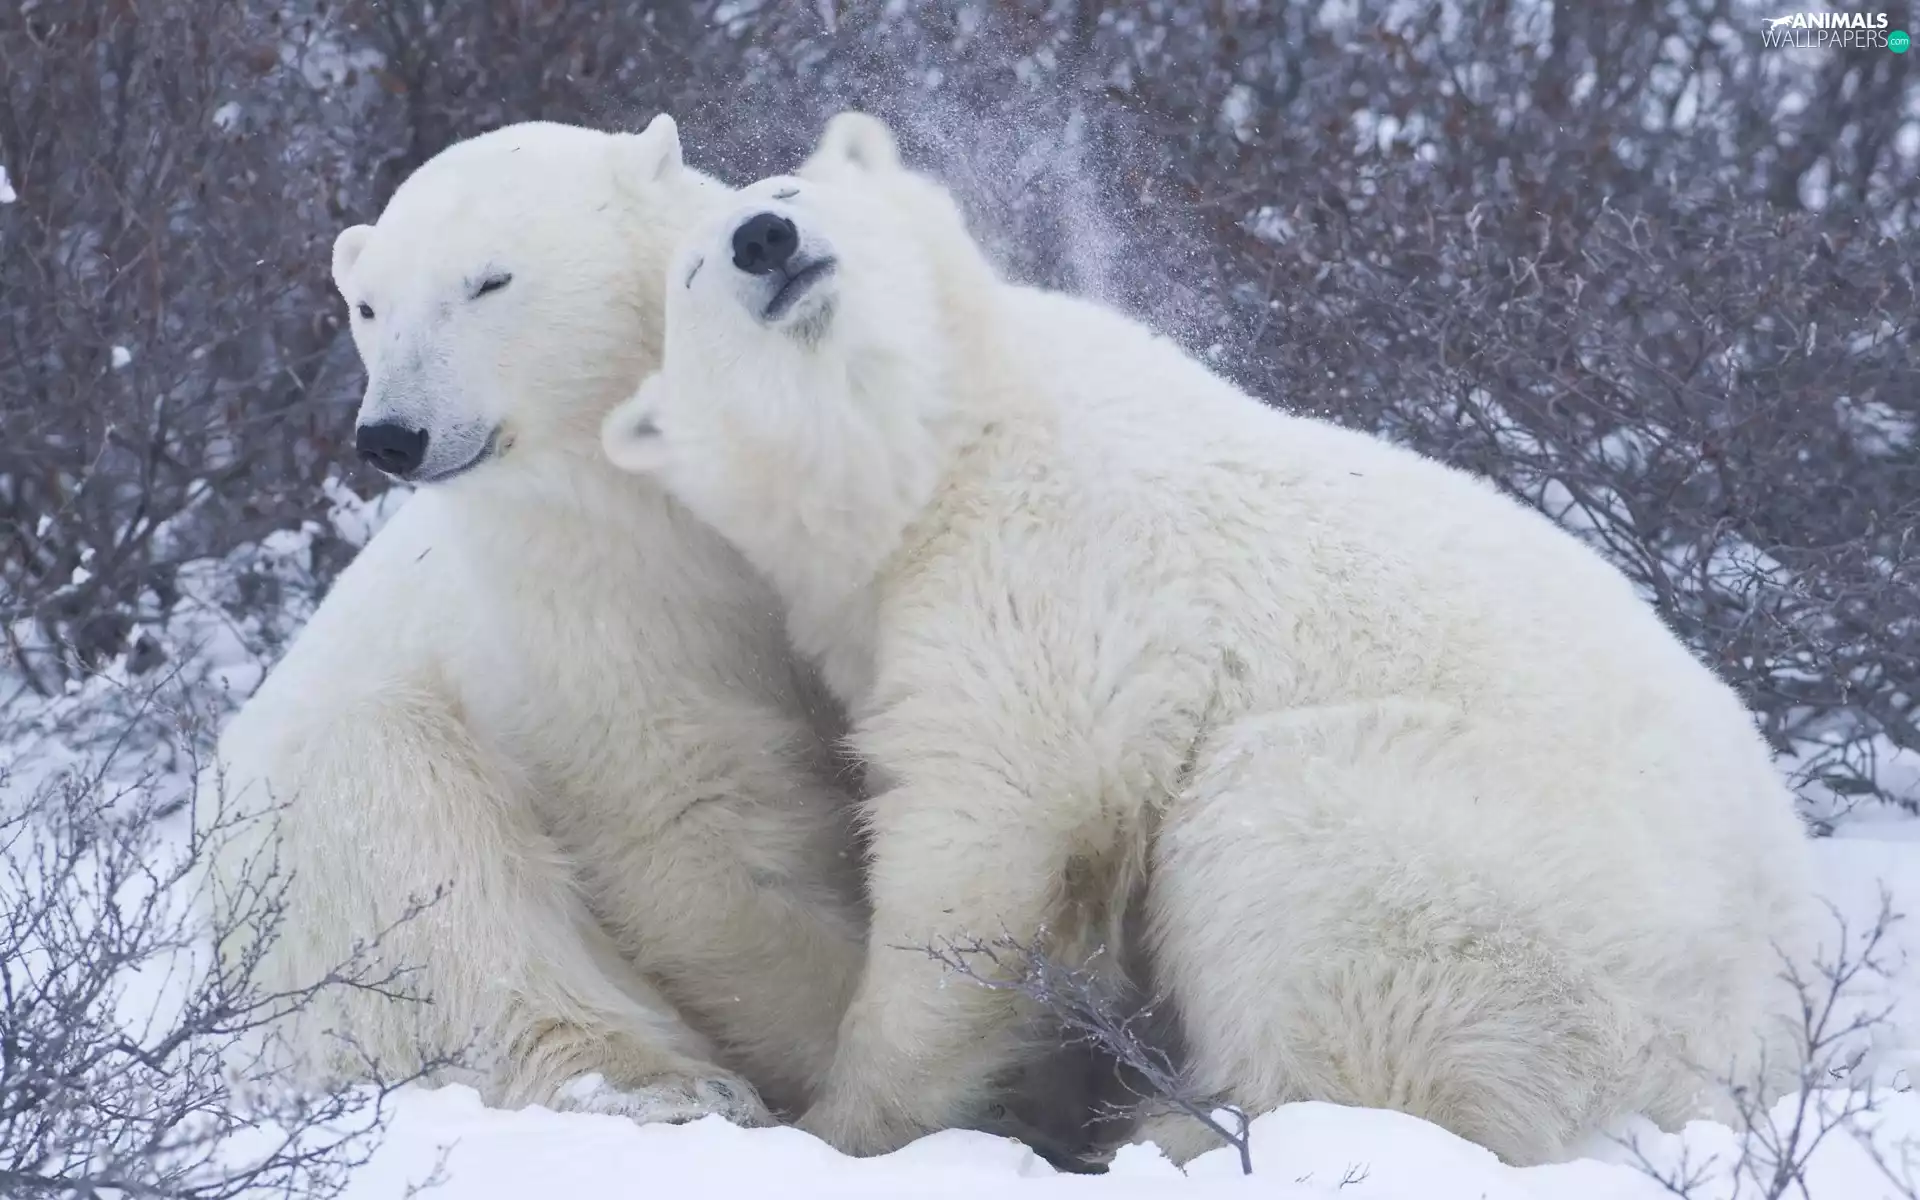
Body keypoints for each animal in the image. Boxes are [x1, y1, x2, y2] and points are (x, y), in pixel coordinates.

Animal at [204, 115, 869, 1130]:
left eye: (488, 281)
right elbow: (692, 823)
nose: (391, 434)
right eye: (370, 307)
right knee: (430, 860)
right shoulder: (585, 605)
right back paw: (666, 1086)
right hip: (312, 864)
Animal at [598, 111, 1820, 1166]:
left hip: (1496, 876)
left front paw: (846, 1125)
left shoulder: (1051, 565)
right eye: (694, 273)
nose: (765, 240)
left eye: (791, 191)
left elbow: (992, 834)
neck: (947, 445)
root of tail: (1754, 1042)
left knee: (1292, 866)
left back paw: (1177, 1127)